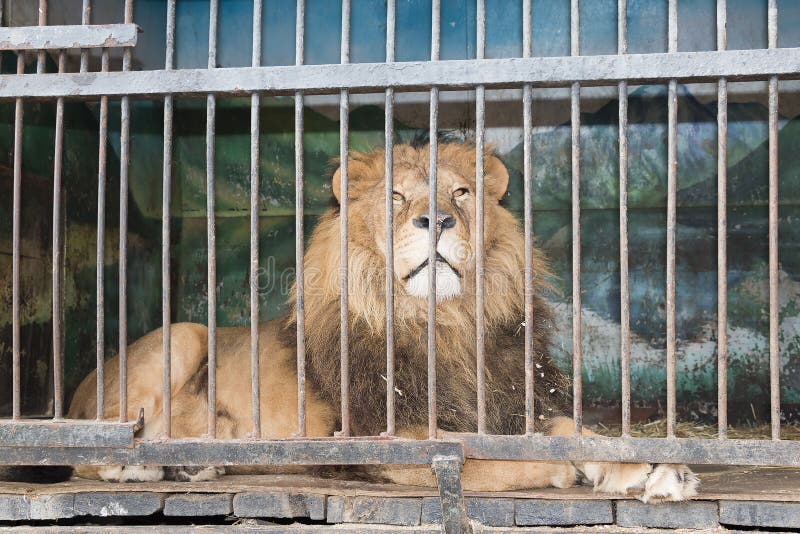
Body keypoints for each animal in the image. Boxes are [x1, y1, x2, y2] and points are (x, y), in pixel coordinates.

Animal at [61, 142, 697, 501]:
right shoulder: (387, 446)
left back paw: (198, 463)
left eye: (461, 192)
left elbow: (570, 429)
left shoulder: (510, 403)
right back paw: (139, 468)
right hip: (181, 338)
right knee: (85, 453)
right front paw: (571, 472)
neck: (442, 322)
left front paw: (657, 469)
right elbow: (492, 458)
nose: (437, 219)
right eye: (394, 196)